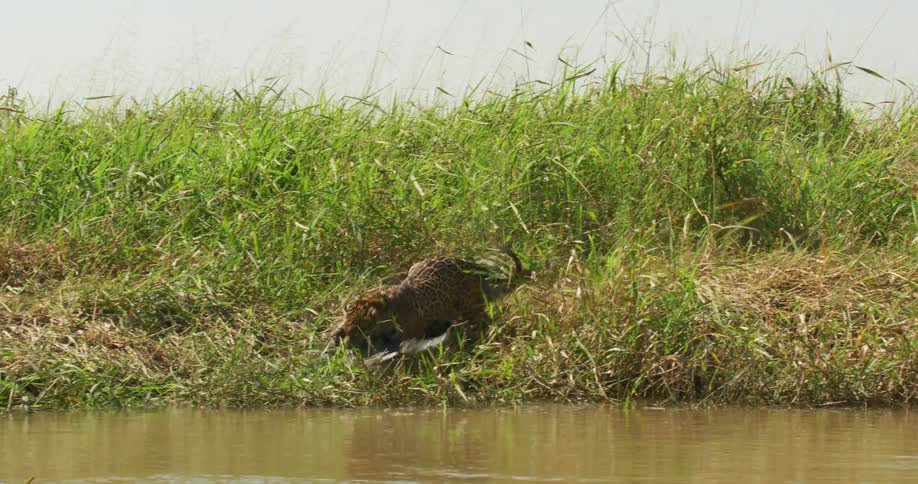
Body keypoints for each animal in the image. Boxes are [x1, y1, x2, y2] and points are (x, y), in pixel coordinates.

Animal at [329, 246, 525, 356]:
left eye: (361, 328)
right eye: (348, 329)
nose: (347, 345)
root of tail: (478, 268)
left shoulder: (410, 332)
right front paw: (335, 335)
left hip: (470, 306)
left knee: (478, 319)